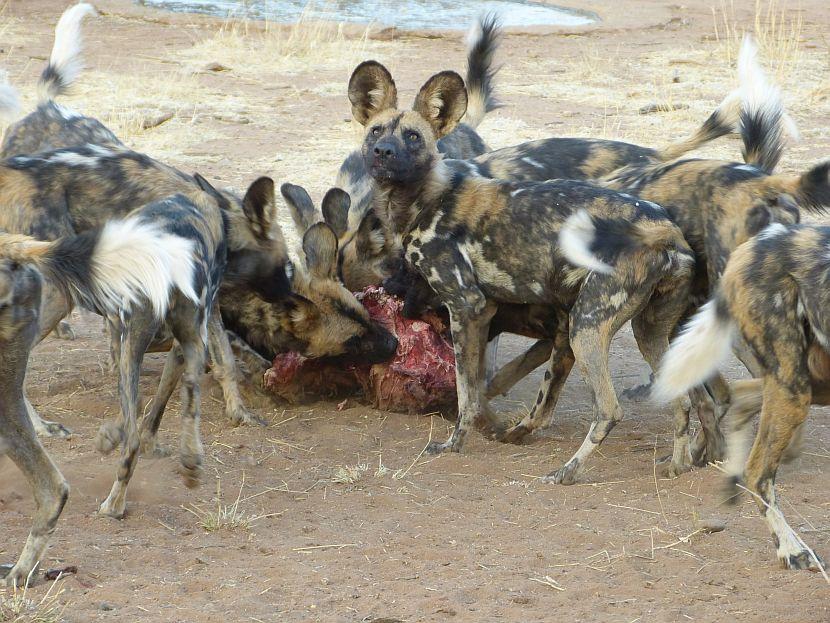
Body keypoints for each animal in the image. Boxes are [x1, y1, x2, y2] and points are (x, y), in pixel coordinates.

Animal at [348, 59, 700, 482]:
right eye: (376, 131)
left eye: (413, 137)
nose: (383, 151)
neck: (421, 201)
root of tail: (666, 231)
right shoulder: (486, 315)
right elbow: (480, 389)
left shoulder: (467, 306)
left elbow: (468, 393)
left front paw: (455, 444)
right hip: (647, 332)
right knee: (682, 399)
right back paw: (678, 464)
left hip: (585, 327)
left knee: (609, 409)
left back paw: (567, 471)